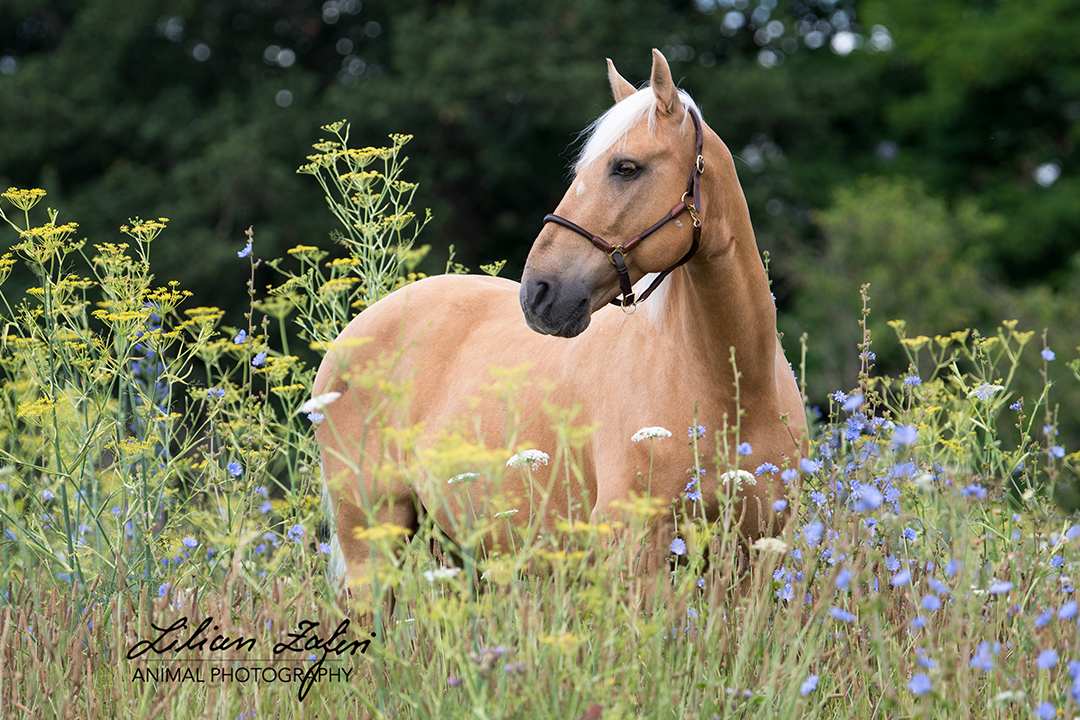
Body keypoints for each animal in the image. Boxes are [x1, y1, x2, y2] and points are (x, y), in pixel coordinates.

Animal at [311, 49, 803, 587]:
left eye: (626, 167)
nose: (538, 293)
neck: (736, 384)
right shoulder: (634, 552)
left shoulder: (760, 555)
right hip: (374, 546)